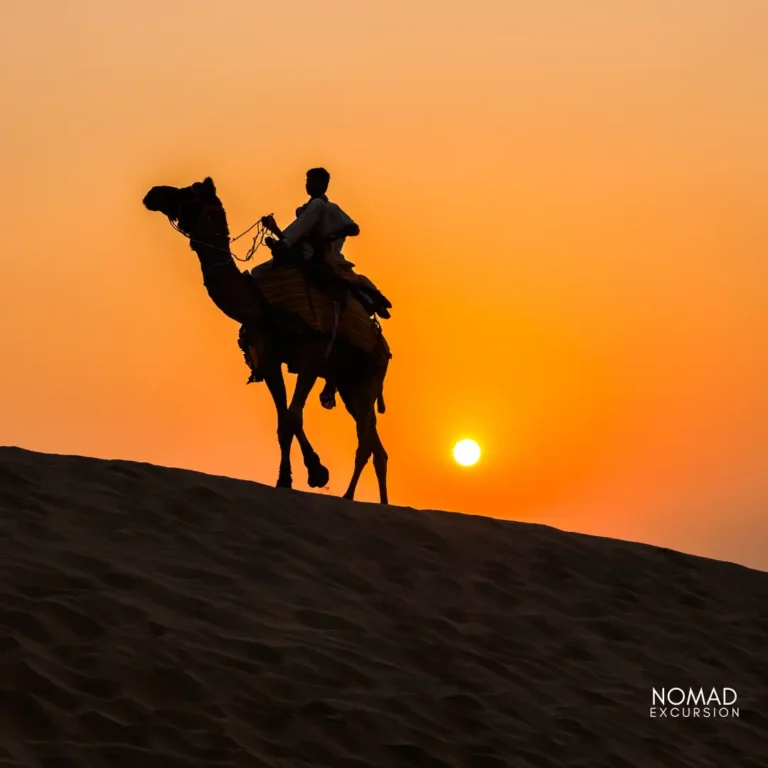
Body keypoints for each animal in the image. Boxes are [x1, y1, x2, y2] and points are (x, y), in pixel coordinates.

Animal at [142, 178, 390, 504]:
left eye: (189, 191)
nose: (153, 194)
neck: (260, 304)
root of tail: (383, 343)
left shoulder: (312, 354)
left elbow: (293, 416)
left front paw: (316, 473)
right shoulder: (270, 358)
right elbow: (283, 420)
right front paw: (288, 478)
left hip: (368, 380)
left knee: (366, 442)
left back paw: (351, 497)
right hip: (350, 385)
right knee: (375, 445)